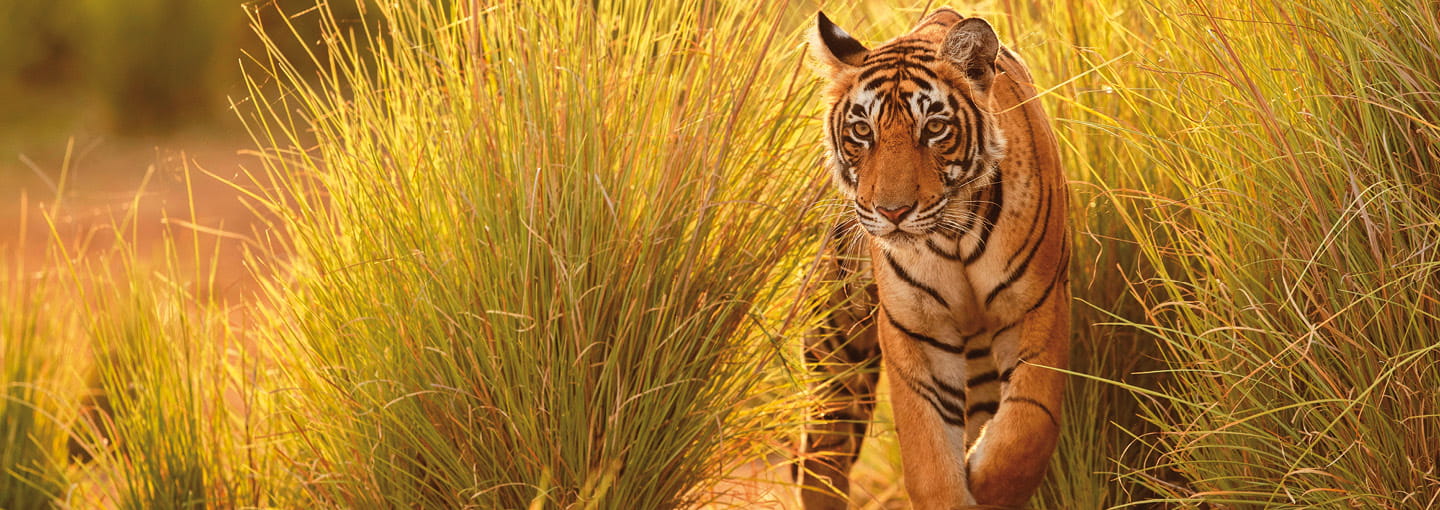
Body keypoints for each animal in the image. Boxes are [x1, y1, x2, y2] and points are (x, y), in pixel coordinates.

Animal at [796, 8, 1070, 509]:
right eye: (862, 131)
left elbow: (1025, 431)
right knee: (822, 456)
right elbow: (928, 457)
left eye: (935, 129)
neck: (954, 237)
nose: (892, 212)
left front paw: (985, 482)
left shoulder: (1036, 306)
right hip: (837, 342)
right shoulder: (916, 328)